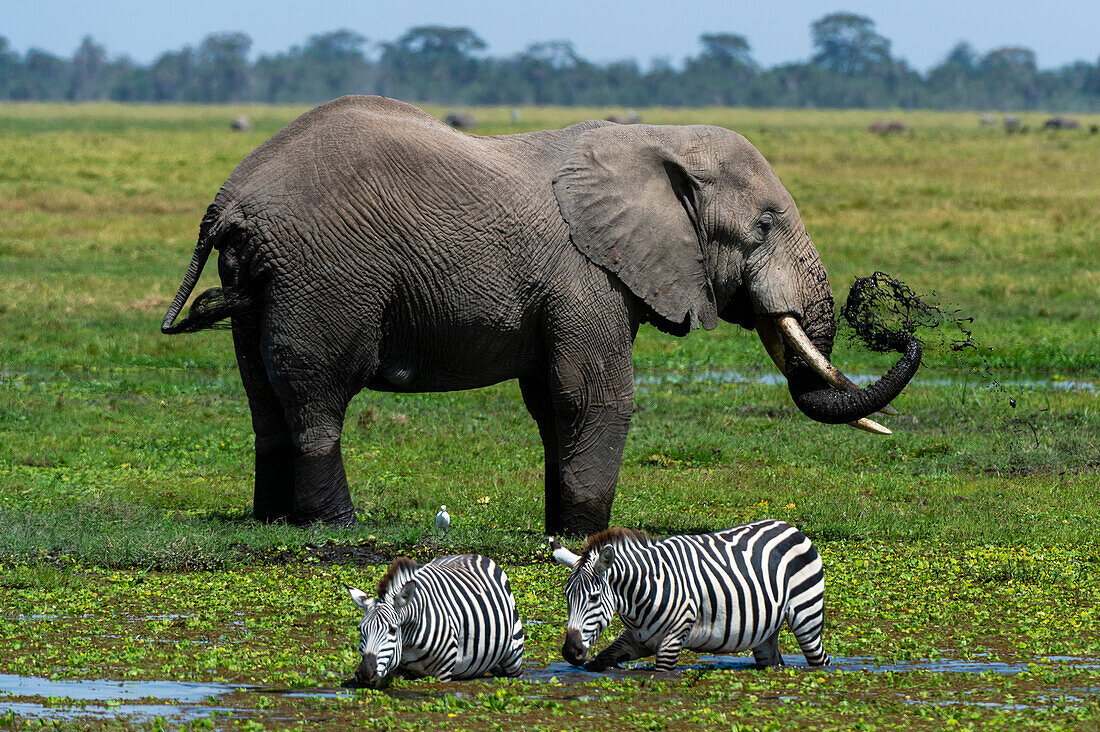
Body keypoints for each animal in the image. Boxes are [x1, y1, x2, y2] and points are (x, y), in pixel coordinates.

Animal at [160, 94, 919, 534]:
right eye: (762, 227)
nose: (900, 326)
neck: (656, 141)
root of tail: (229, 199)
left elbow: (552, 401)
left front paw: (561, 531)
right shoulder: (584, 274)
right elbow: (592, 393)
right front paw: (588, 536)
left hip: (267, 281)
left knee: (263, 393)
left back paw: (273, 521)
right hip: (325, 277)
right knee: (317, 390)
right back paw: (337, 529)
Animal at [349, 554, 525, 686]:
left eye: (392, 630)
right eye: (360, 629)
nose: (365, 674)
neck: (408, 643)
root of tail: (475, 555)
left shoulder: (443, 674)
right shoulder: (396, 671)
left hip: (513, 656)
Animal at [554, 519, 827, 669]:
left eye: (593, 598)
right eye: (567, 598)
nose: (570, 653)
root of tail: (789, 527)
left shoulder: (672, 641)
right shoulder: (638, 639)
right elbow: (602, 659)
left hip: (807, 617)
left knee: (819, 659)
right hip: (765, 630)